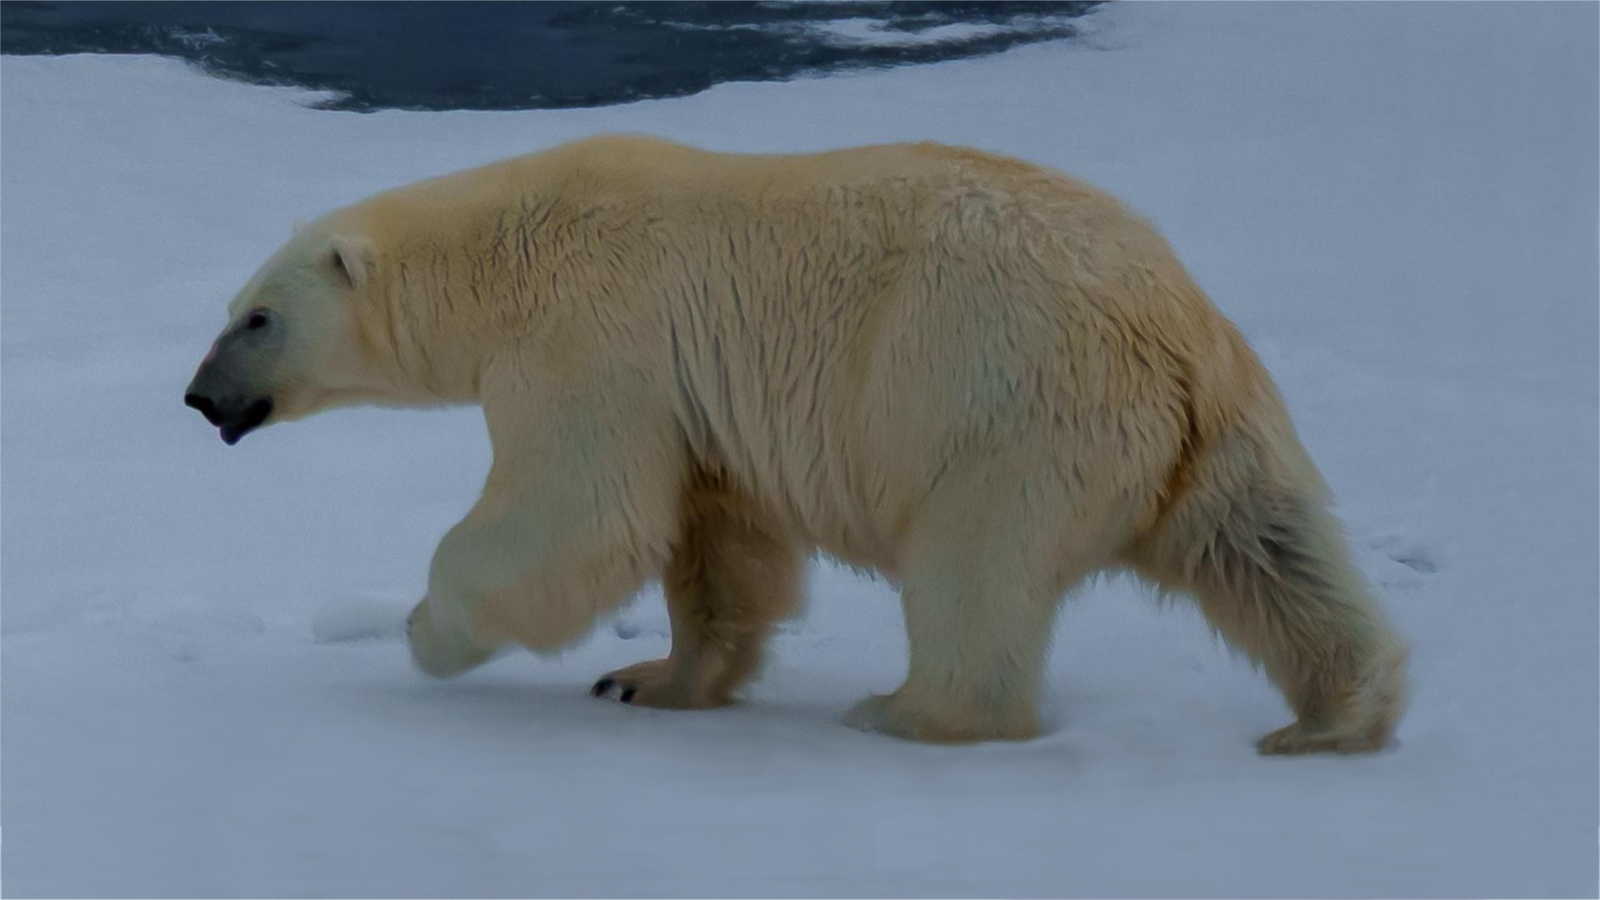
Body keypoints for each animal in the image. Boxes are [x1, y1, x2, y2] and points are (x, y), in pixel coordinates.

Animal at [185, 135, 1408, 754]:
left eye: (256, 318)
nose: (198, 399)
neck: (504, 244)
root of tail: (1171, 332)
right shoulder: (697, 399)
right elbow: (717, 544)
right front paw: (646, 679)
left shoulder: (592, 339)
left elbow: (579, 511)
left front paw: (424, 628)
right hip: (1216, 424)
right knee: (1272, 551)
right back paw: (1337, 717)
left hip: (1002, 408)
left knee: (972, 571)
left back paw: (908, 711)